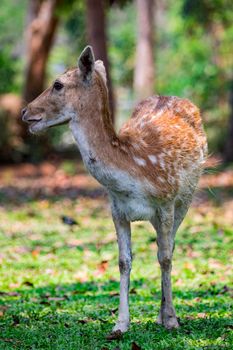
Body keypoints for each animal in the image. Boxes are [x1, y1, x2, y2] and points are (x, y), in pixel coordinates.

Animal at [21, 45, 208, 338]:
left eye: (58, 84)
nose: (25, 111)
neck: (133, 171)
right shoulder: (117, 209)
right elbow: (123, 261)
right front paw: (120, 324)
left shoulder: (166, 201)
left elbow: (165, 257)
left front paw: (171, 320)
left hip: (186, 199)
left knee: (170, 247)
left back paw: (165, 314)